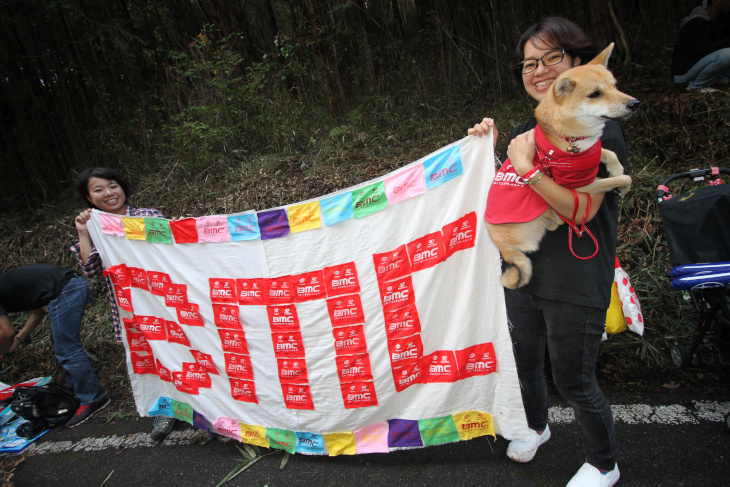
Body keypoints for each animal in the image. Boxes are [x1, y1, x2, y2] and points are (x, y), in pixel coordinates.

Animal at [486, 43, 636, 290]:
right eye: (595, 94)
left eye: (615, 86)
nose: (635, 104)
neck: (567, 138)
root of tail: (506, 251)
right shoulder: (578, 186)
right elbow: (622, 179)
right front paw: (621, 185)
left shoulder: (589, 152)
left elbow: (606, 152)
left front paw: (615, 167)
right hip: (541, 206)